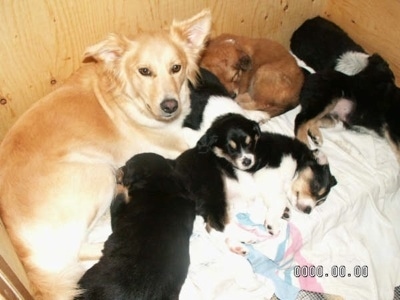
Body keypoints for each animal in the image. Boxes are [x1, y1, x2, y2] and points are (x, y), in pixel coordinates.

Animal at [290, 15, 398, 162]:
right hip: (328, 98)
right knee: (301, 119)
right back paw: (305, 142)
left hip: (332, 113)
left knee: (313, 120)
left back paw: (315, 135)